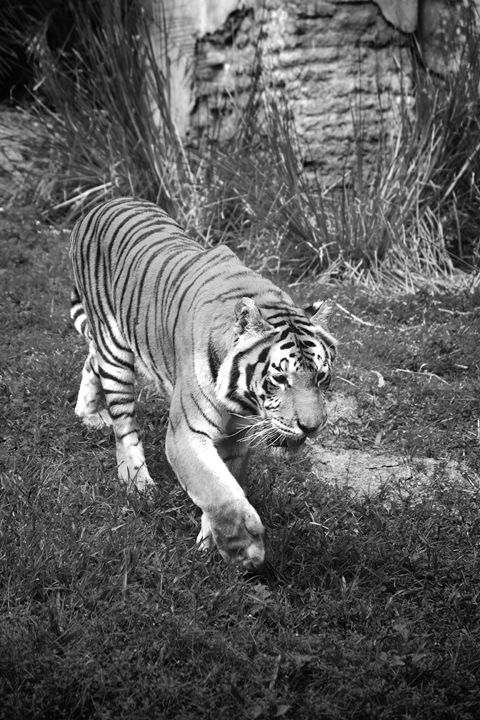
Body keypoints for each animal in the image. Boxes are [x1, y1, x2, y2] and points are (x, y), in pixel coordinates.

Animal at [69, 197, 337, 570]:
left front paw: (214, 541)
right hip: (115, 351)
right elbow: (218, 491)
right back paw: (137, 481)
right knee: (124, 424)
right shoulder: (186, 434)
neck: (243, 402)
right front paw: (244, 548)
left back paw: (88, 414)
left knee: (89, 361)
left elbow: (226, 485)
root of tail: (104, 202)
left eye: (321, 377)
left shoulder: (236, 439)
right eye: (280, 378)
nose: (311, 427)